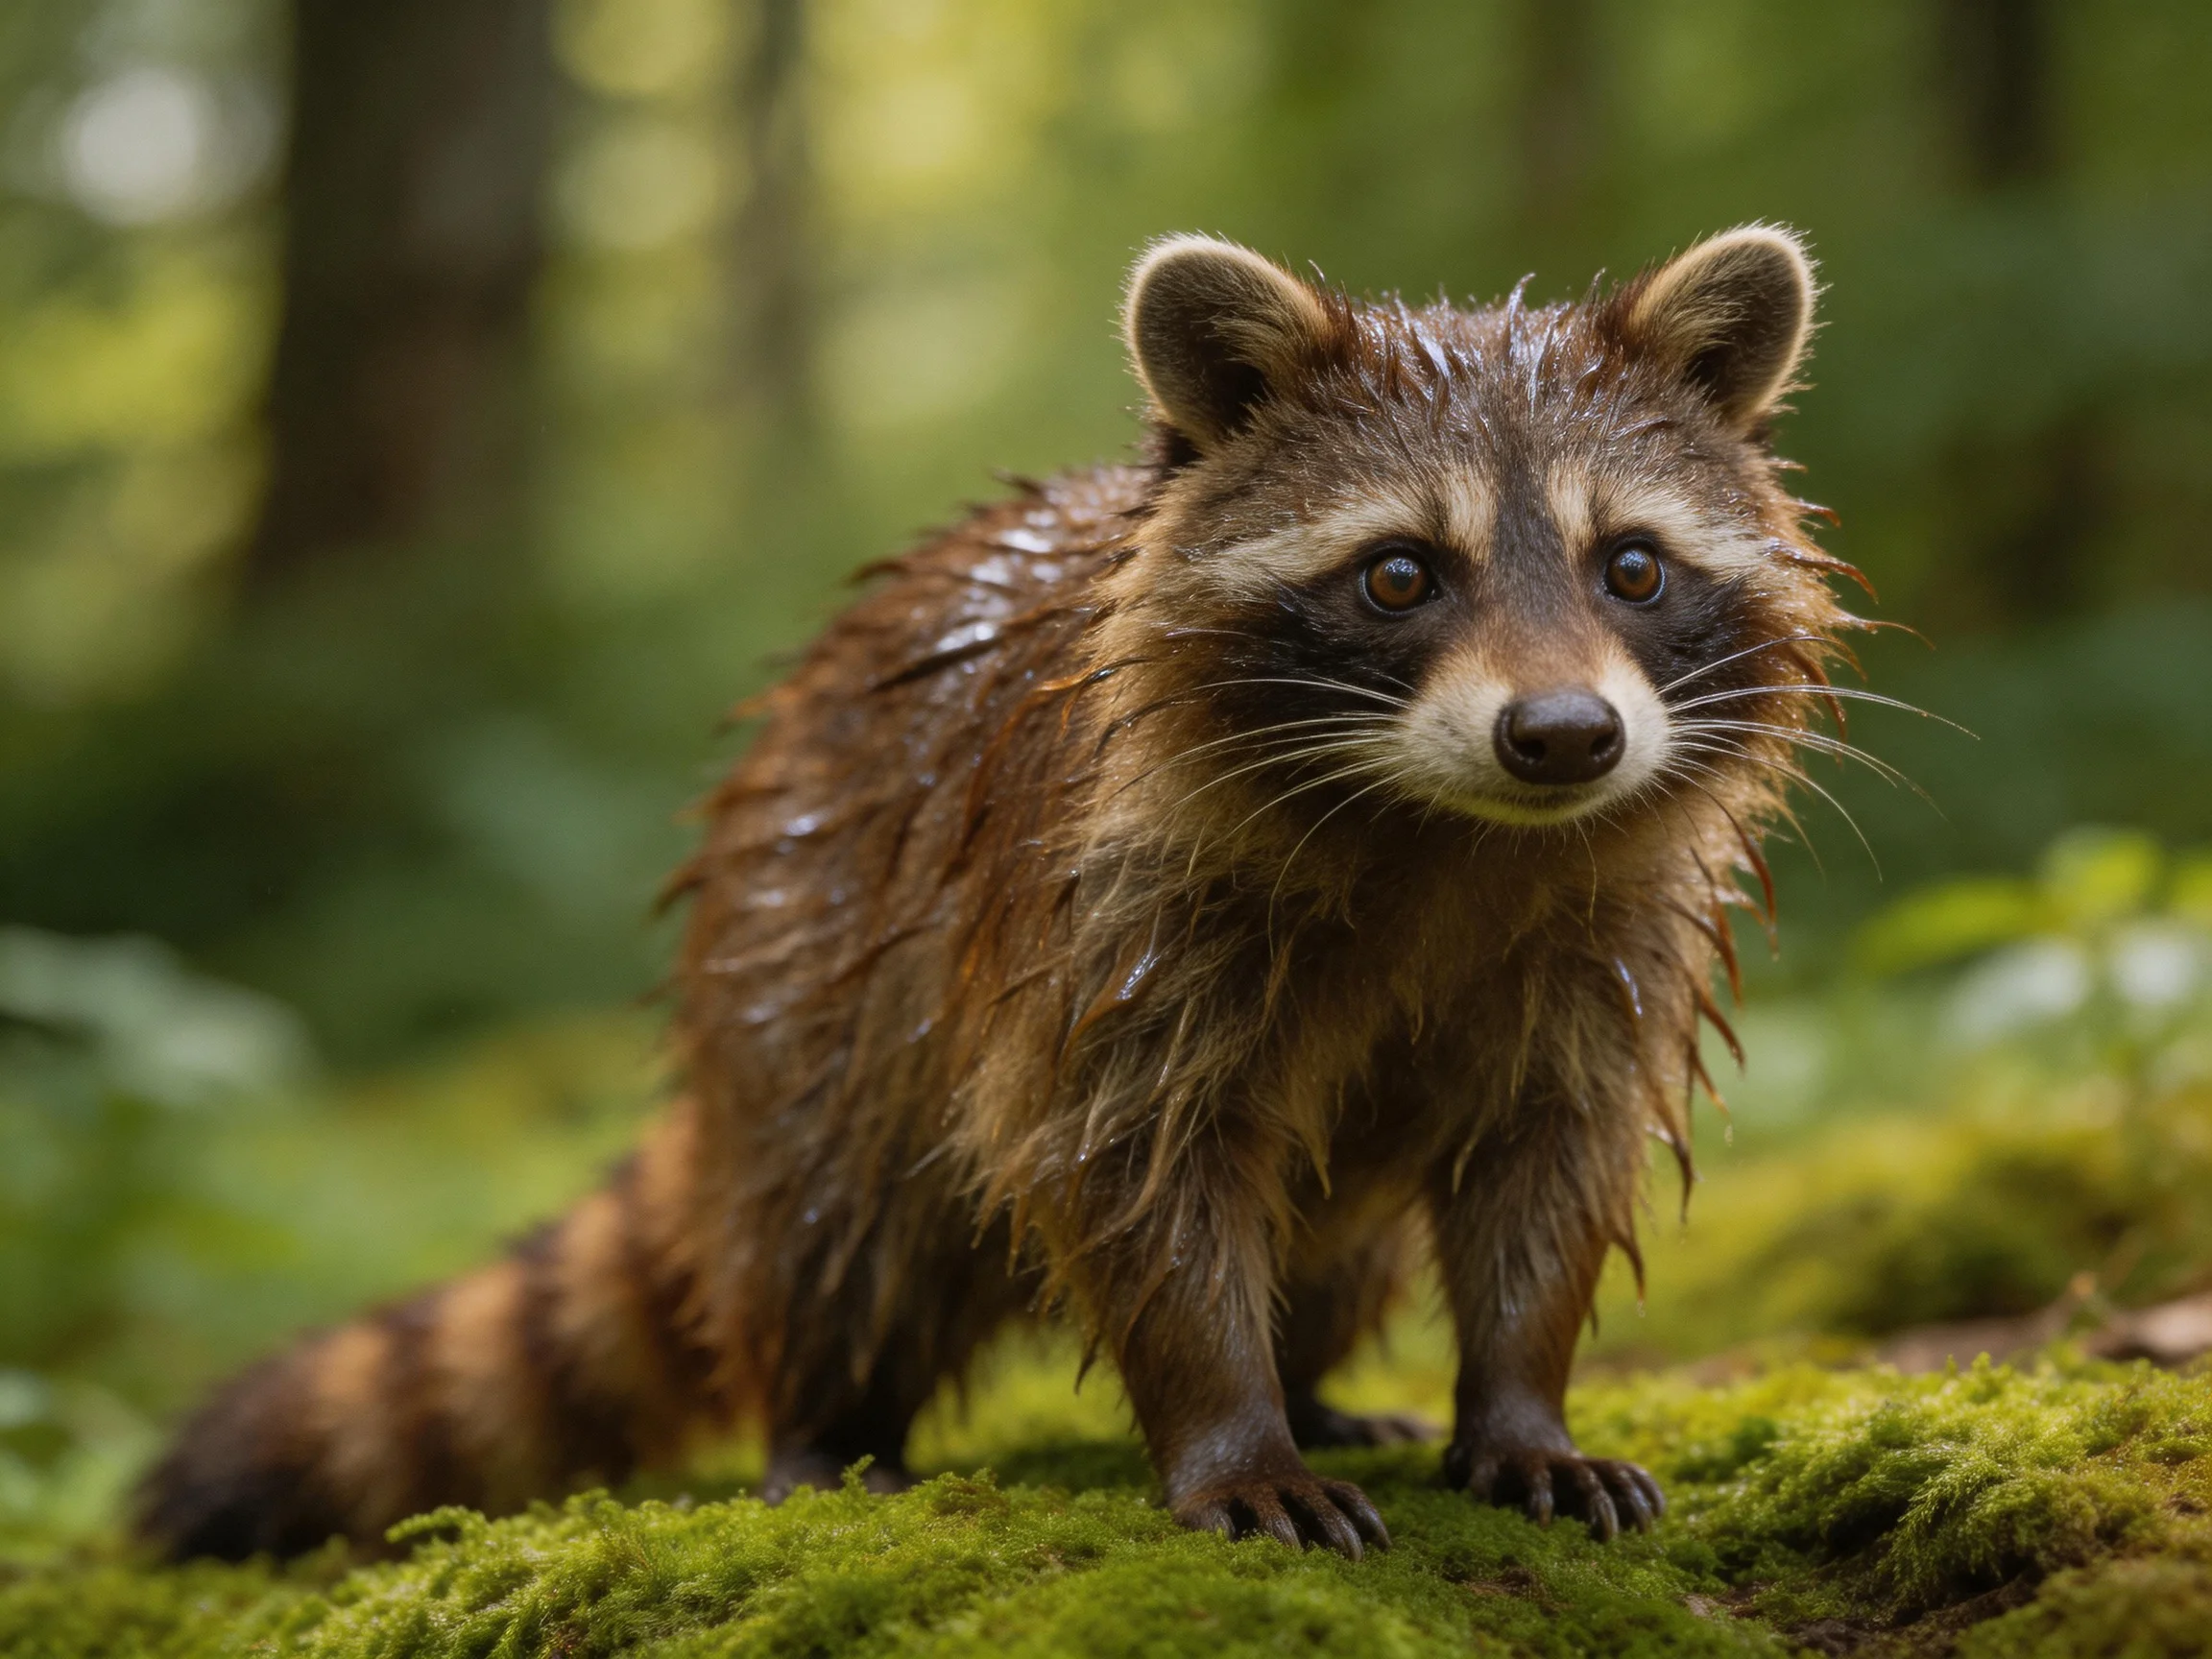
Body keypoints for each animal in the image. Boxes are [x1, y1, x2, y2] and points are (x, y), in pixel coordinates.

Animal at [141, 225, 1861, 1561]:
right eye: (1398, 574)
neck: (1452, 830)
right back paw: (831, 1422)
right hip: (812, 972)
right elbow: (1126, 1168)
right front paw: (1228, 1433)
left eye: (1631, 565)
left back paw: (1312, 1379)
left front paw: (1516, 1404)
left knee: (1338, 1237)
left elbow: (1549, 1169)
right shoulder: (1092, 914)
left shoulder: (1603, 942)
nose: (1563, 736)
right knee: (841, 1229)